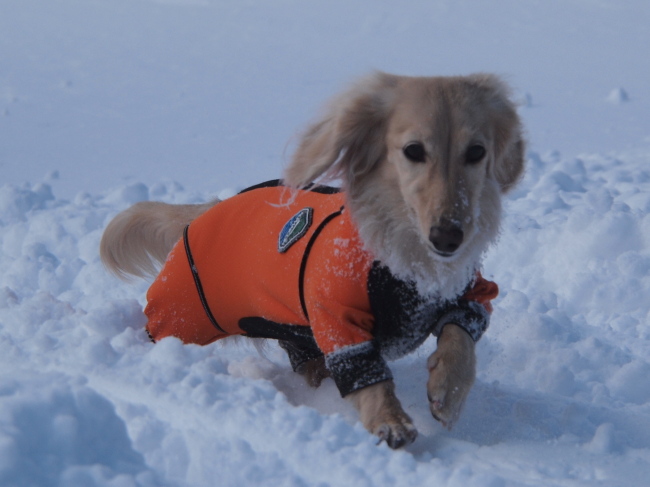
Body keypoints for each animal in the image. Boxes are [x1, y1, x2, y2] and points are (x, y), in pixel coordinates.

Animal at [98, 72, 520, 450]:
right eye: (413, 150)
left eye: (476, 152)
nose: (448, 236)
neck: (407, 260)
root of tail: (208, 211)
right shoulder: (336, 318)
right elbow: (369, 376)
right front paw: (390, 420)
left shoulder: (470, 294)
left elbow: (460, 336)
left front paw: (447, 389)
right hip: (183, 316)